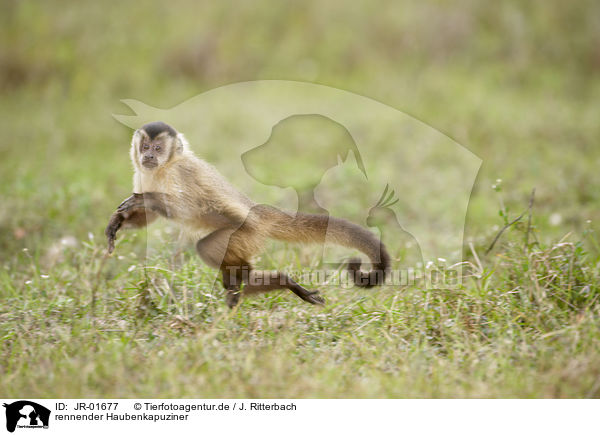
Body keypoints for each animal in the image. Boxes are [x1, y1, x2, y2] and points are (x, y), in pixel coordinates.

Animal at [105, 121, 392, 308]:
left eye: (157, 148)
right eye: (144, 146)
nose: (148, 156)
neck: (163, 169)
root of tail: (258, 213)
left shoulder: (179, 173)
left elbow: (190, 208)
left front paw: (145, 200)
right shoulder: (143, 173)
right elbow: (147, 218)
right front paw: (118, 222)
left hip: (245, 232)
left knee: (208, 247)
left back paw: (259, 283)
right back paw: (270, 283)